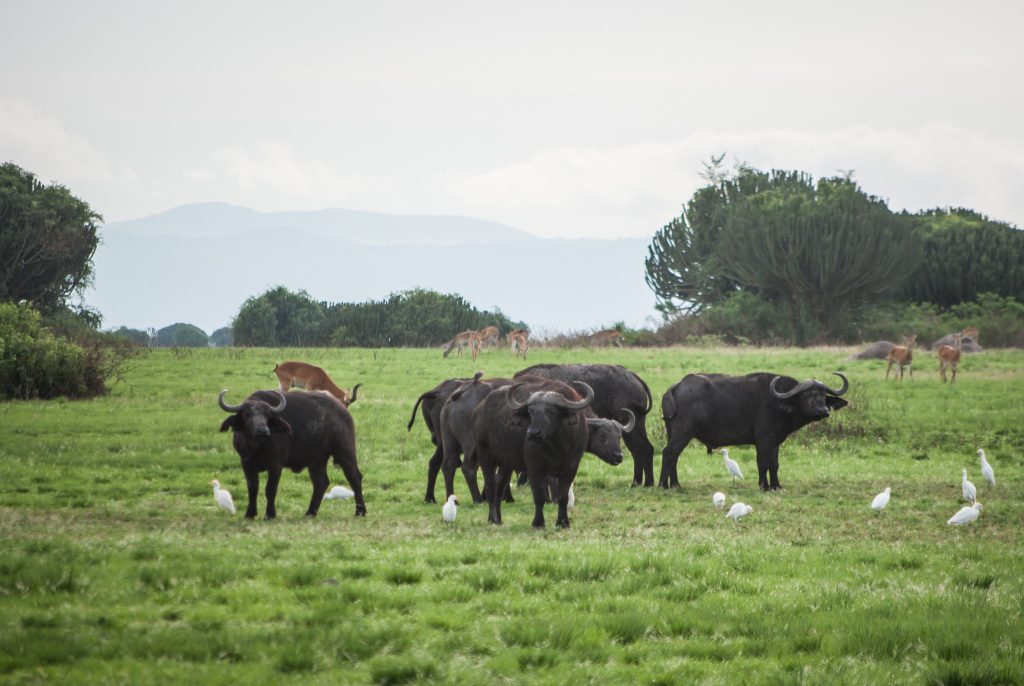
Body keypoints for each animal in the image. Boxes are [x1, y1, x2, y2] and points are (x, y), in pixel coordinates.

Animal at [218, 389, 366, 518]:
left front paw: (270, 514)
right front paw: (250, 514)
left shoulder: (276, 465)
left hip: (345, 451)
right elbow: (253, 489)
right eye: (248, 415)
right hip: (316, 460)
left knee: (354, 478)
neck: (257, 447)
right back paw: (310, 512)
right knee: (321, 482)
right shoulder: (246, 464)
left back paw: (360, 511)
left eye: (267, 415)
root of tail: (343, 410)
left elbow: (270, 489)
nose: (263, 431)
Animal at [473, 379, 625, 528]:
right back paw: (492, 519)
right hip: (485, 456)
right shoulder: (535, 468)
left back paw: (498, 519)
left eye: (552, 411)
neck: (557, 445)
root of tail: (480, 408)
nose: (619, 456)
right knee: (491, 485)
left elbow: (564, 496)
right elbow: (539, 496)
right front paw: (538, 523)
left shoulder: (571, 467)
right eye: (531, 411)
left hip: (506, 463)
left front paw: (563, 523)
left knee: (500, 485)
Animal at [659, 372, 849, 492]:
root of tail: (676, 386)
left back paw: (675, 484)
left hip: (672, 432)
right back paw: (663, 485)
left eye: (823, 395)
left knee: (673, 455)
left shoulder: (774, 443)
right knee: (669, 453)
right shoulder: (763, 441)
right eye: (807, 395)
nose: (823, 411)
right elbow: (762, 463)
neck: (779, 404)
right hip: (683, 432)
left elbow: (774, 464)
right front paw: (764, 486)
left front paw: (776, 486)